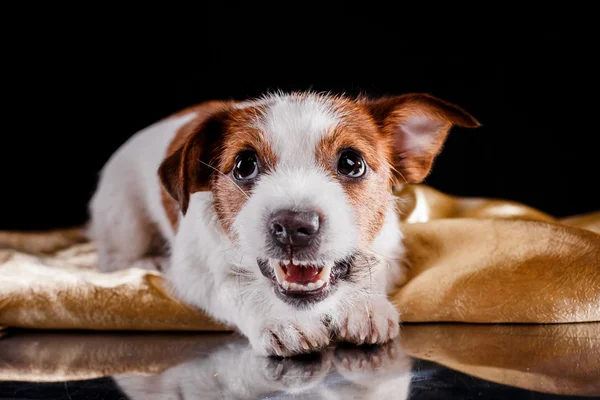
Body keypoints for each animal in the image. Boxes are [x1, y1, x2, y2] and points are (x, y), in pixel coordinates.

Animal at [88, 91, 478, 356]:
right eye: (244, 165)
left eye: (352, 163)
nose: (293, 227)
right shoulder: (193, 272)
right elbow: (234, 286)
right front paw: (281, 320)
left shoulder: (391, 249)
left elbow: (370, 269)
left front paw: (361, 304)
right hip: (122, 217)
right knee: (114, 256)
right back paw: (145, 260)